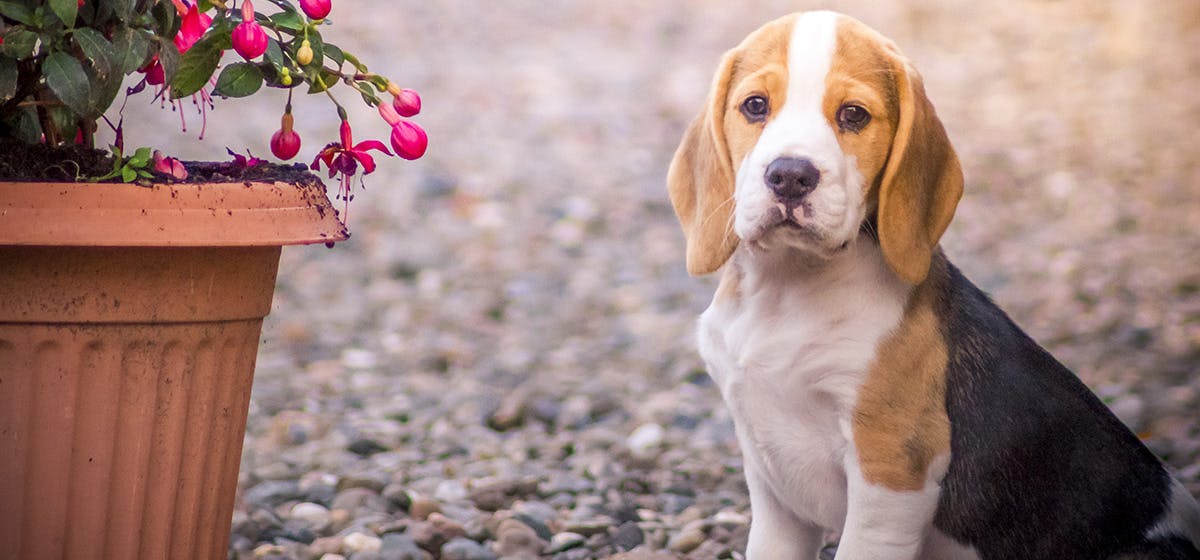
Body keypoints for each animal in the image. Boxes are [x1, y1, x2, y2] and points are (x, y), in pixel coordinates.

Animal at [667, 9, 1200, 560]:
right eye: (755, 106)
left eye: (853, 115)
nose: (790, 175)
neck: (786, 289)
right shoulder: (773, 486)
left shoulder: (892, 469)